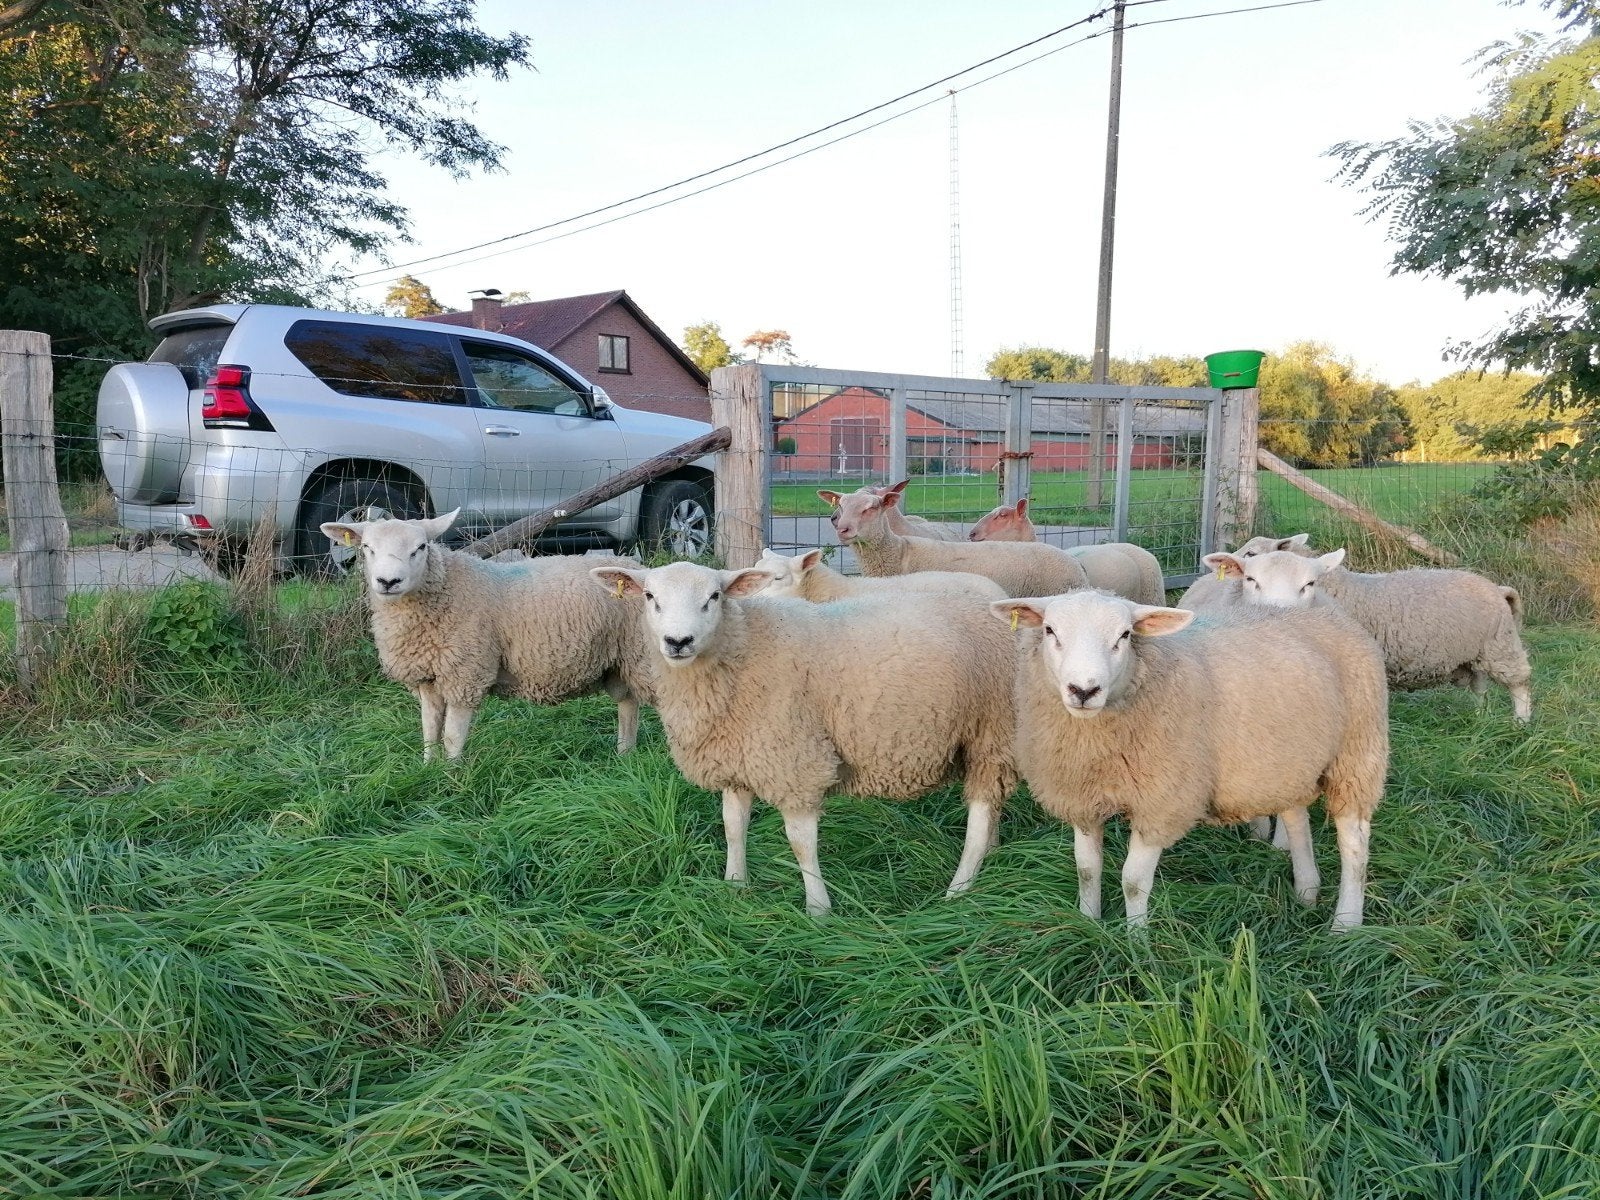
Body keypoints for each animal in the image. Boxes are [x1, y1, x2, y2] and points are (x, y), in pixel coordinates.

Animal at [323, 510, 652, 760]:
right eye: (367, 548)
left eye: (421, 547)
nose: (388, 581)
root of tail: (638, 569)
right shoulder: (429, 678)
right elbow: (429, 730)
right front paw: (428, 769)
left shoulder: (465, 673)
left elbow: (452, 736)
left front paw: (451, 778)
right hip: (620, 661)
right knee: (628, 703)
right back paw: (625, 753)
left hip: (642, 656)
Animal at [589, 560, 1017, 916]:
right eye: (649, 596)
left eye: (715, 596)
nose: (679, 642)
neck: (744, 647)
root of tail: (999, 598)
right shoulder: (739, 758)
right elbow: (732, 825)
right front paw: (735, 886)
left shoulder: (795, 760)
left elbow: (800, 842)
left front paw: (818, 910)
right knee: (993, 802)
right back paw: (993, 854)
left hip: (994, 728)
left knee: (980, 815)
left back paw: (959, 890)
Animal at [994, 590, 1388, 930]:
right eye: (1049, 630)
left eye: (1125, 634)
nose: (1084, 690)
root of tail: (1333, 617)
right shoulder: (1083, 798)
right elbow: (1086, 869)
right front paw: (1088, 923)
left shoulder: (1163, 802)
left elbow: (1133, 881)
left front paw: (1136, 940)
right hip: (1286, 763)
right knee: (1296, 818)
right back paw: (1307, 892)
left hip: (1357, 753)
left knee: (1354, 843)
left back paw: (1345, 923)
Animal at [1207, 547, 1533, 722]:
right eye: (1251, 578)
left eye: (1309, 584)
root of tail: (1497, 588)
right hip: (1474, 653)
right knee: (1479, 686)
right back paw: (1479, 719)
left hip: (1500, 645)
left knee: (1520, 683)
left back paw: (1520, 723)